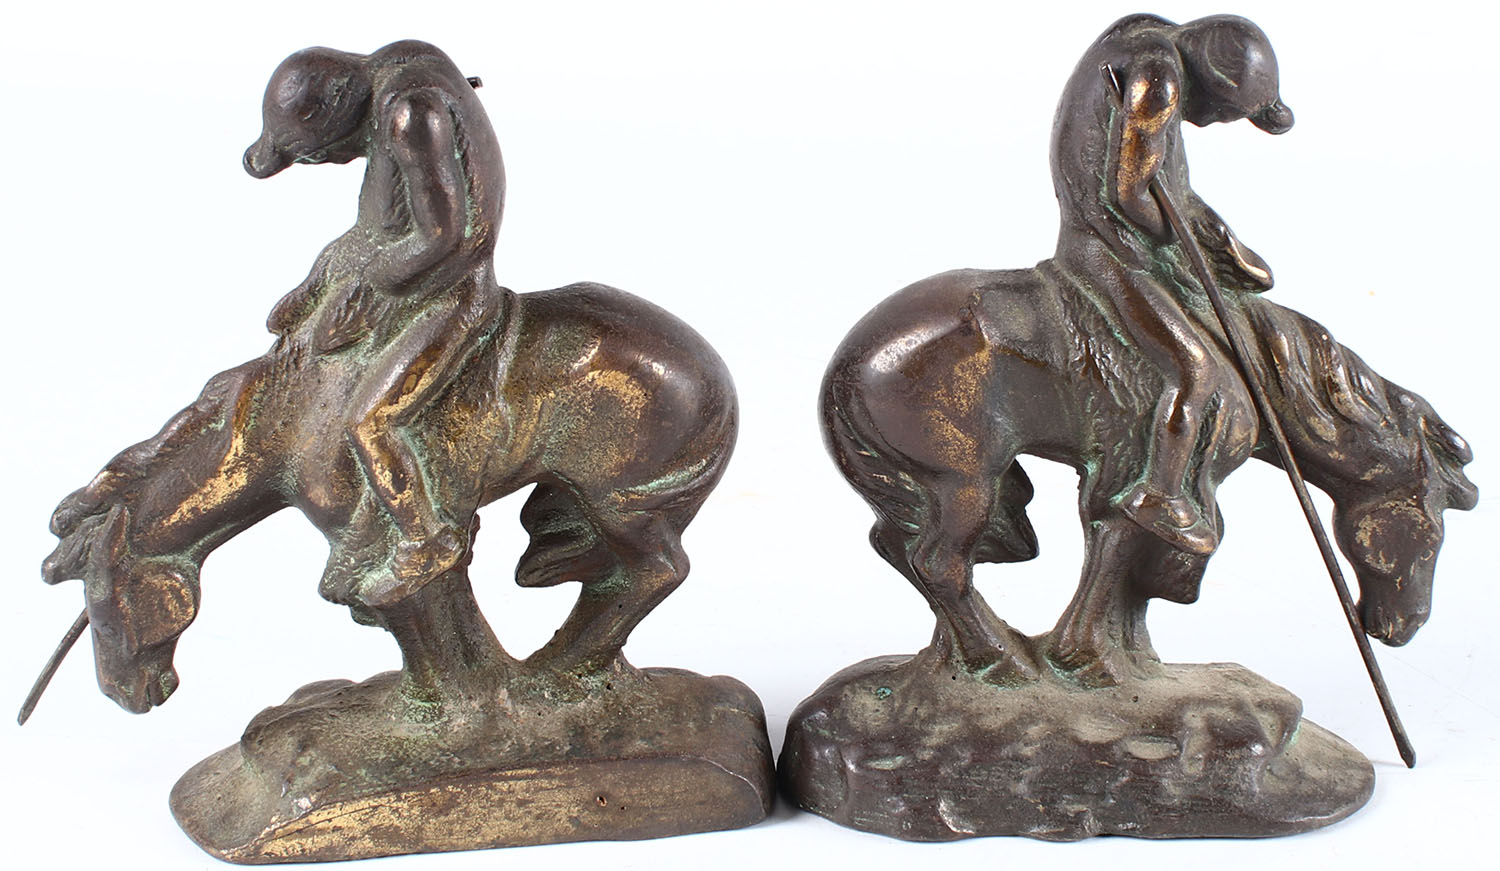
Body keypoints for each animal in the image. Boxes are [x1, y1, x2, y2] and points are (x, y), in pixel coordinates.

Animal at [39, 282, 737, 715]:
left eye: (108, 613)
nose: (125, 696)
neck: (277, 431)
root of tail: (719, 378)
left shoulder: (370, 537)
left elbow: (400, 609)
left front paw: (456, 709)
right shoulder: (441, 525)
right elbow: (442, 610)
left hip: (620, 503)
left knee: (659, 572)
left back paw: (558, 673)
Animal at [822, 263, 1477, 686]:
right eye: (1433, 536)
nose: (1403, 627)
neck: (1243, 363)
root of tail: (844, 370)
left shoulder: (1120, 471)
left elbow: (1120, 557)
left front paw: (1113, 655)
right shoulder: (1144, 473)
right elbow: (1121, 543)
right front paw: (1083, 656)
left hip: (924, 487)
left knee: (897, 546)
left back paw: (980, 651)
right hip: (964, 486)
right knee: (938, 563)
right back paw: (1000, 660)